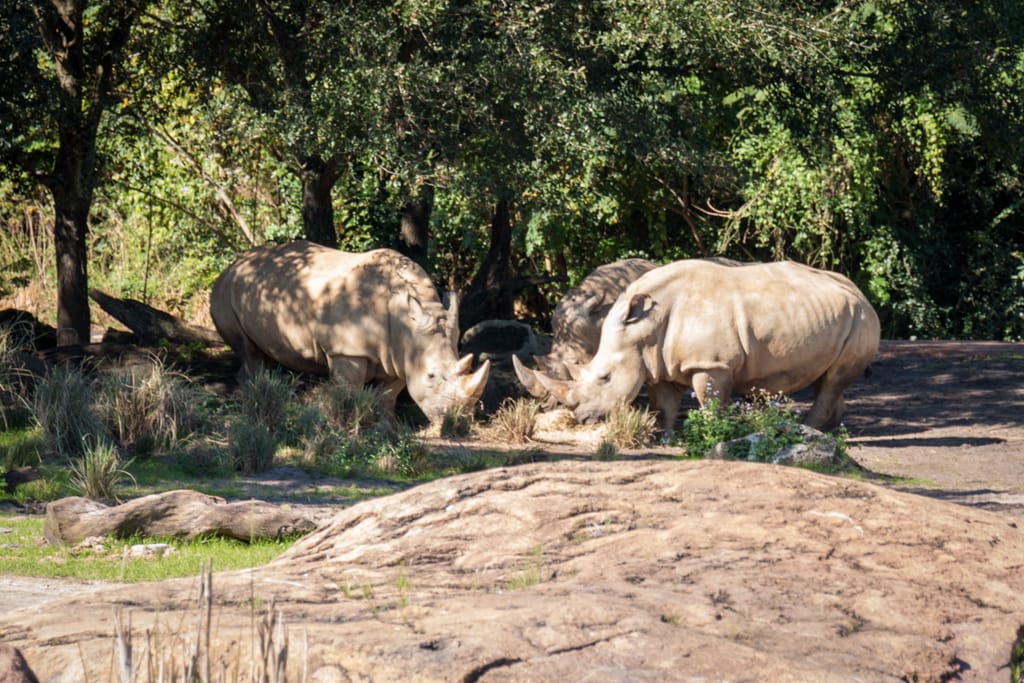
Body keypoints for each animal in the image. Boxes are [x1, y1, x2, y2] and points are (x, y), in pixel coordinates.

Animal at [210, 240, 490, 420]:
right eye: (431, 376)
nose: (457, 419)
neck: (406, 324)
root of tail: (232, 265)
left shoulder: (402, 356)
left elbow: (387, 397)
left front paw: (387, 430)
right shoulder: (347, 351)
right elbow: (348, 392)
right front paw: (344, 428)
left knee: (260, 354)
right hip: (225, 293)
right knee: (249, 352)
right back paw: (251, 407)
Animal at [534, 259, 879, 432]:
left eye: (605, 377)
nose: (581, 419)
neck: (642, 328)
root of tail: (861, 293)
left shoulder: (712, 365)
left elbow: (710, 404)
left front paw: (712, 437)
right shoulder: (656, 363)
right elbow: (664, 406)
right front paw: (666, 440)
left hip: (861, 318)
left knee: (833, 380)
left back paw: (808, 431)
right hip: (837, 316)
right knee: (827, 378)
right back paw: (827, 433)